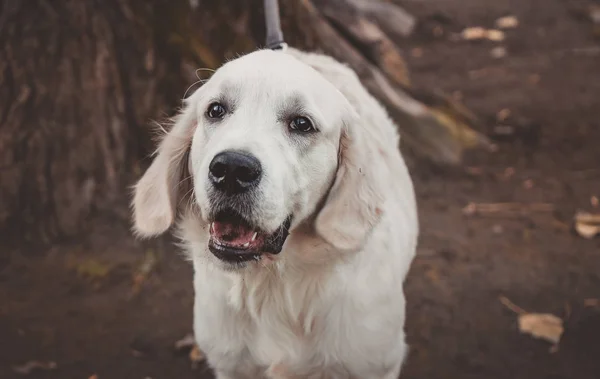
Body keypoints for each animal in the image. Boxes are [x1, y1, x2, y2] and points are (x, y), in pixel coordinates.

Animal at [131, 48, 418, 379]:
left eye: (302, 123)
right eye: (215, 110)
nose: (232, 169)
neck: (273, 284)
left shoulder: (375, 365)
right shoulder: (231, 367)